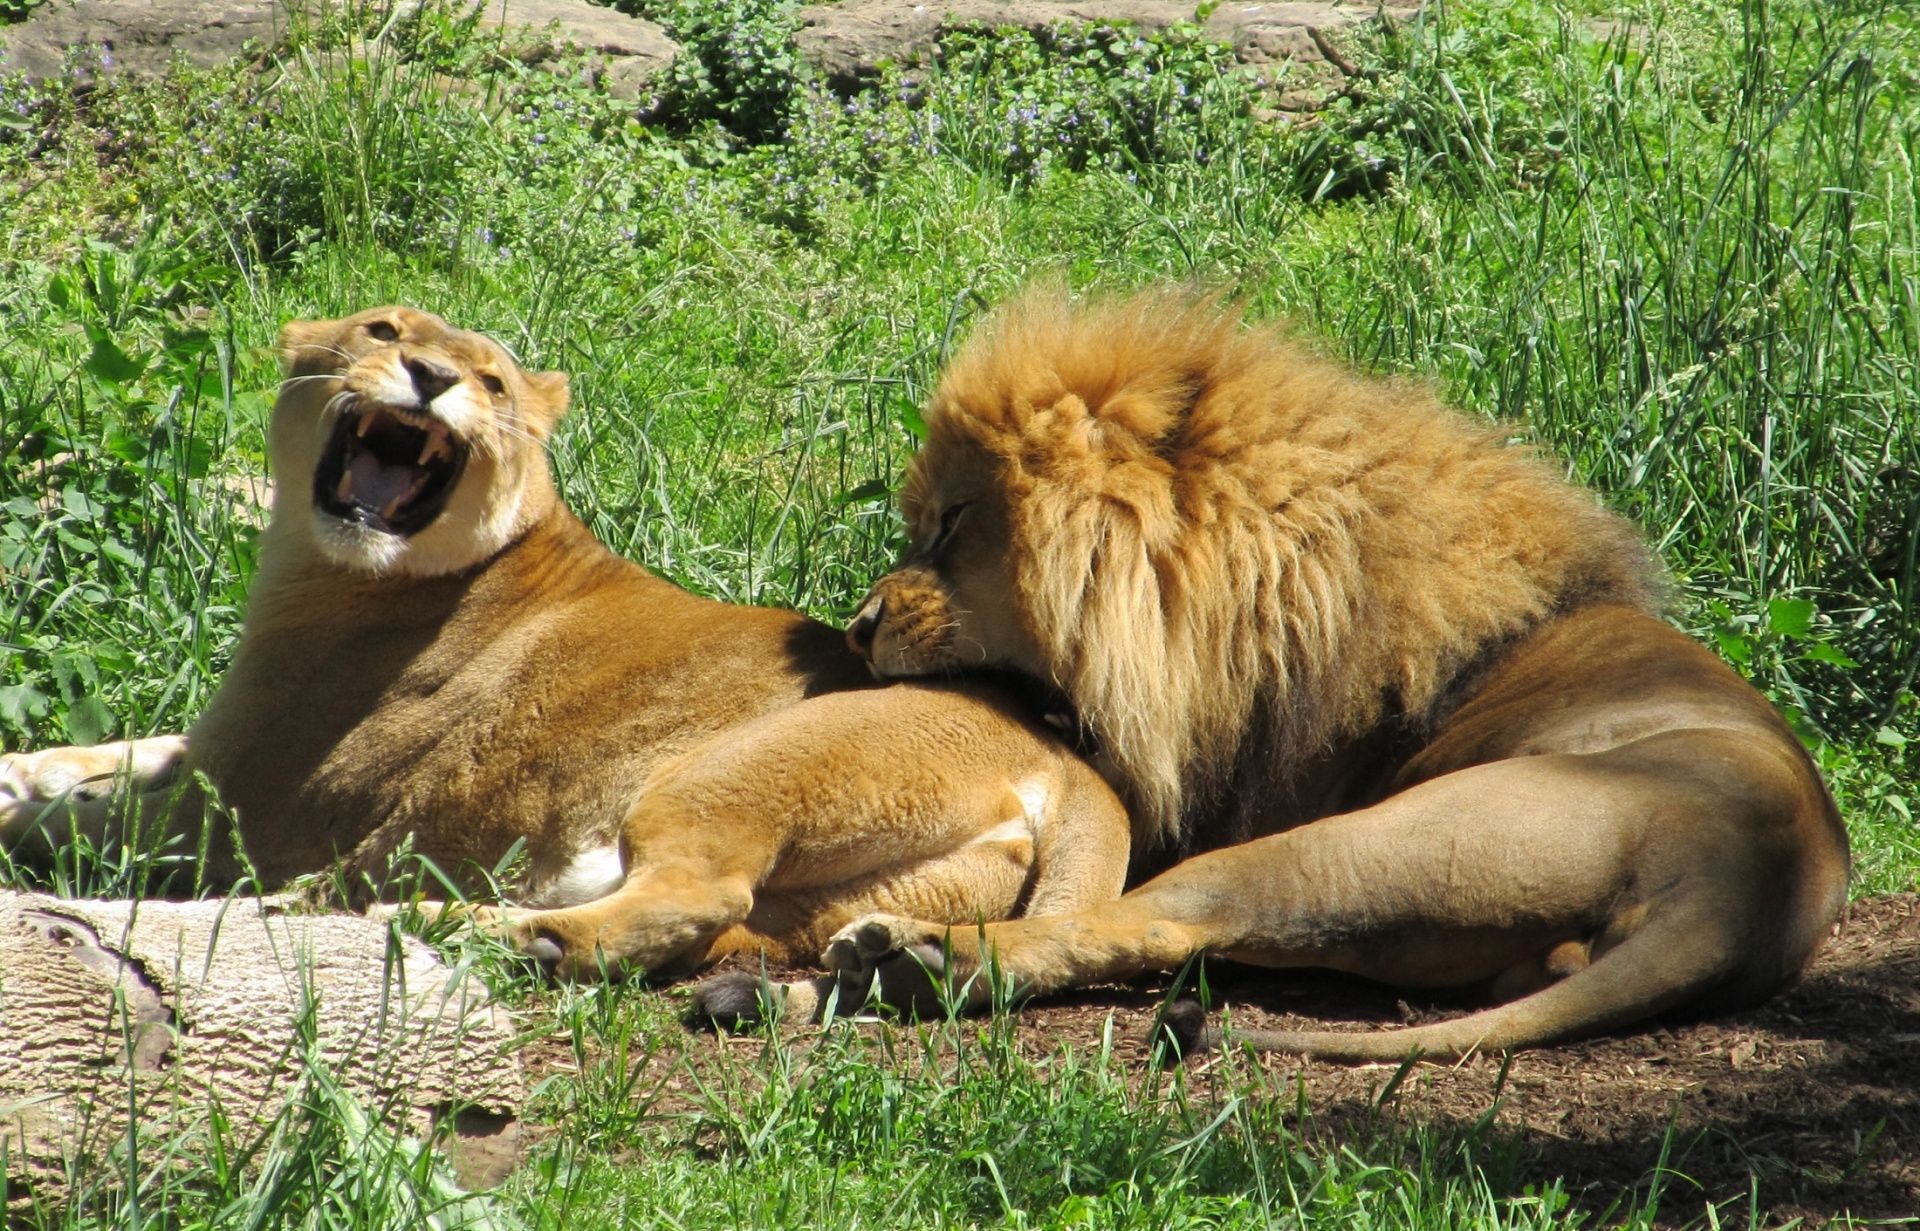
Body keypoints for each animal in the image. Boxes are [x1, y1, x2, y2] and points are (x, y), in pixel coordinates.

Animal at [0, 306, 1132, 979]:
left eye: (493, 383)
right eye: (382, 327)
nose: (426, 374)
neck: (320, 562)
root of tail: (1071, 764)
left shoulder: (239, 806)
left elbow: (78, 823)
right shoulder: (208, 751)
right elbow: (104, 756)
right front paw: (29, 766)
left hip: (717, 774)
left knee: (681, 900)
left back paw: (441, 924)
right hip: (849, 893)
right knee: (726, 931)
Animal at [702, 285, 1853, 1060]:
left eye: (950, 522)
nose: (858, 629)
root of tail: (1740, 883)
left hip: (1340, 851)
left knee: (1134, 924)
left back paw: (900, 954)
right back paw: (773, 995)